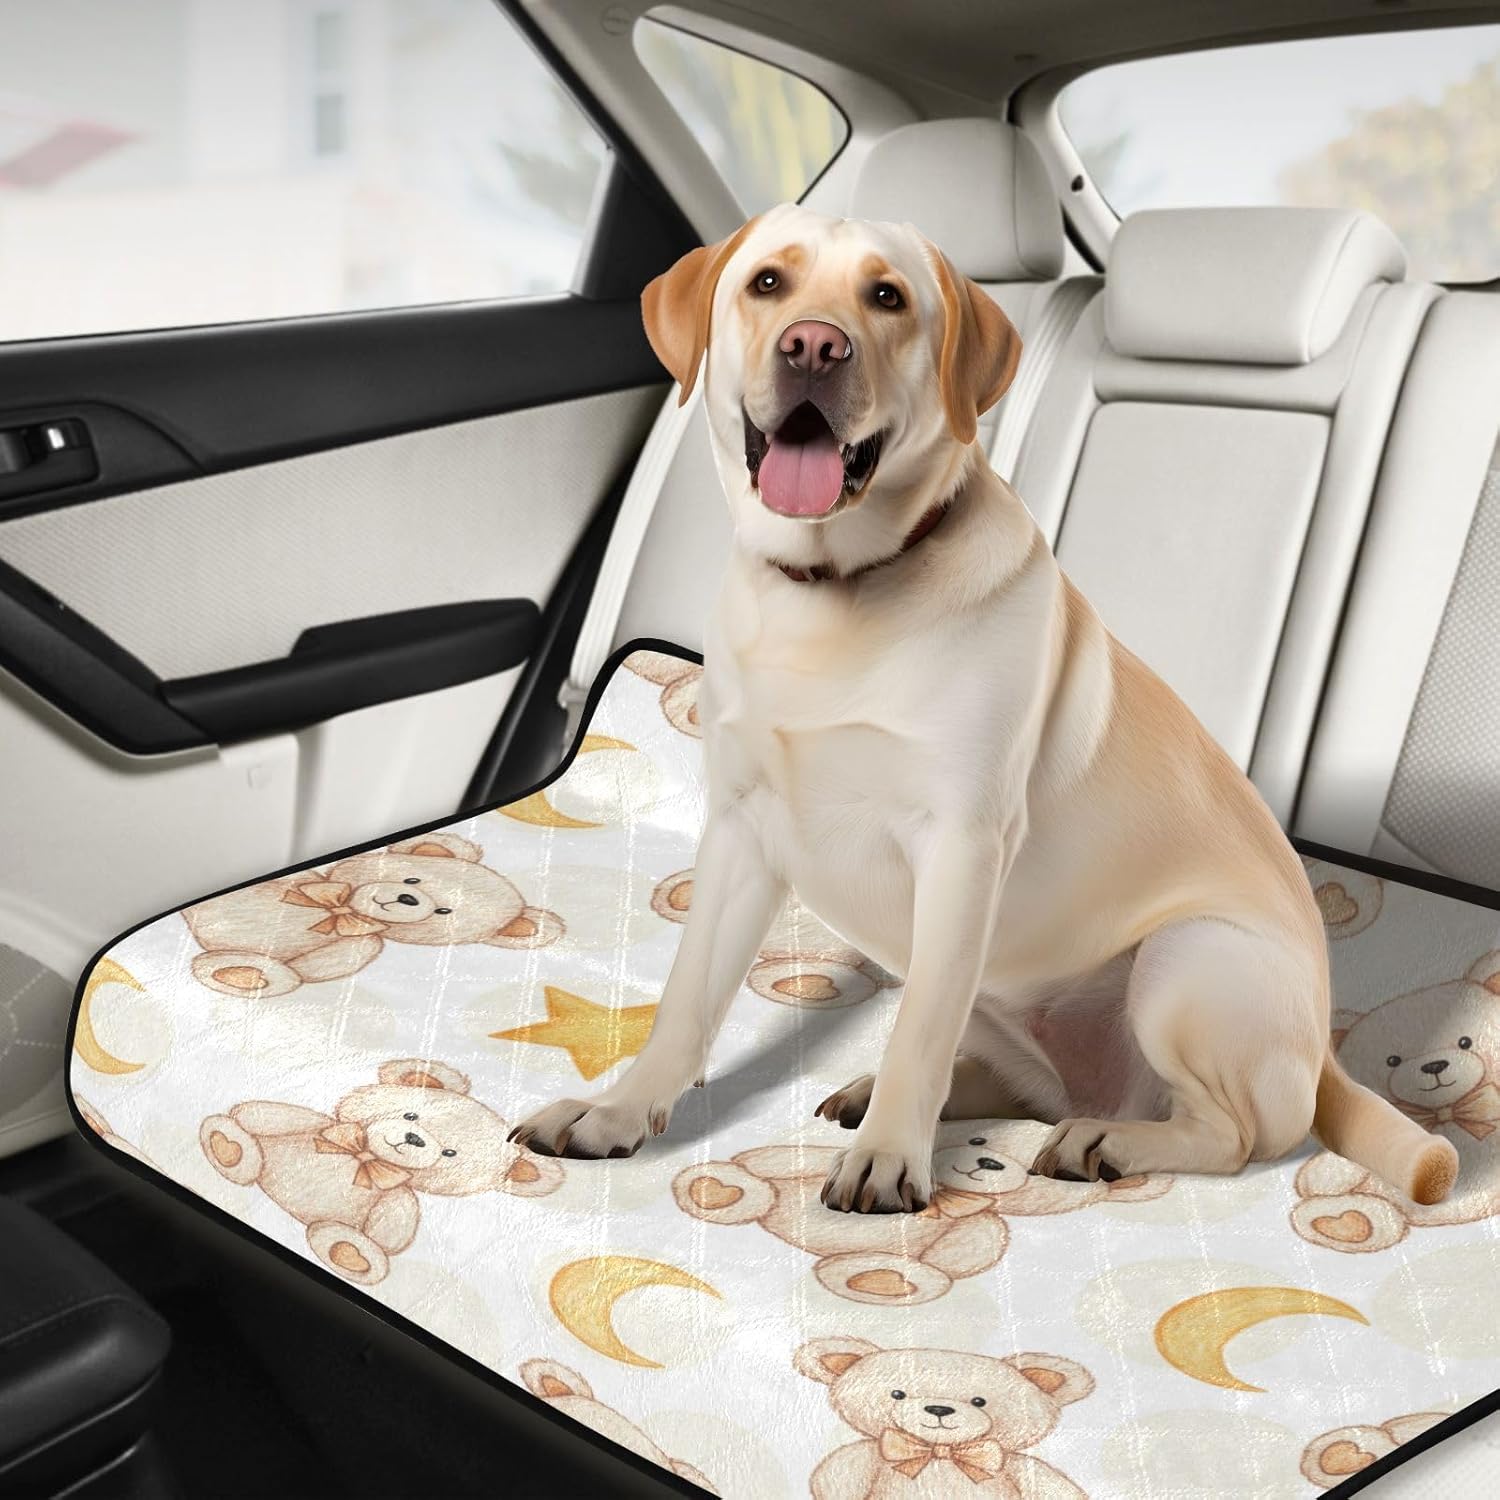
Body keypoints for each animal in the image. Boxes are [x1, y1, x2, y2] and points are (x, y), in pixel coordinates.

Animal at [184, 831, 563, 997]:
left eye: (444, 911)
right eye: (412, 879)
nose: (407, 897)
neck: (342, 909)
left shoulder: (360, 945)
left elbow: (330, 960)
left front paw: (259, 976)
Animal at [200, 1057, 562, 1285]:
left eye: (450, 1153)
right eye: (410, 1115)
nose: (414, 1139)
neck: (366, 1156)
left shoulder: (398, 1200)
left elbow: (392, 1226)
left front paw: (355, 1252)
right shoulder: (318, 1124)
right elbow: (270, 1114)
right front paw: (232, 1141)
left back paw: (348, 1252)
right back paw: (229, 1144)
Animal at [794, 1335, 1094, 1500]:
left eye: (979, 1401)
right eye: (897, 1394)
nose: (939, 1409)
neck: (942, 1454)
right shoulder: (864, 1458)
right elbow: (838, 1474)